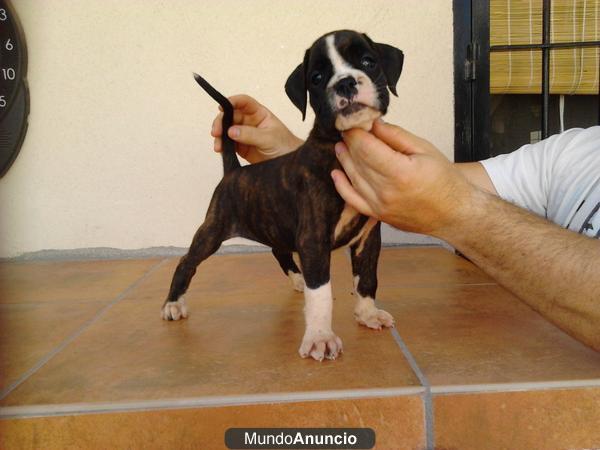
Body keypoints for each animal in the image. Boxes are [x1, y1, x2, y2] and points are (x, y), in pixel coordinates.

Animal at [163, 29, 404, 362]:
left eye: (369, 61)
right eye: (317, 77)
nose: (345, 82)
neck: (339, 145)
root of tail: (233, 171)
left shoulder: (368, 237)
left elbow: (367, 278)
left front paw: (367, 313)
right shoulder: (314, 239)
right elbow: (322, 293)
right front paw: (320, 337)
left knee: (279, 251)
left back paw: (298, 279)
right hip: (212, 231)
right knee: (187, 261)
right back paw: (173, 303)